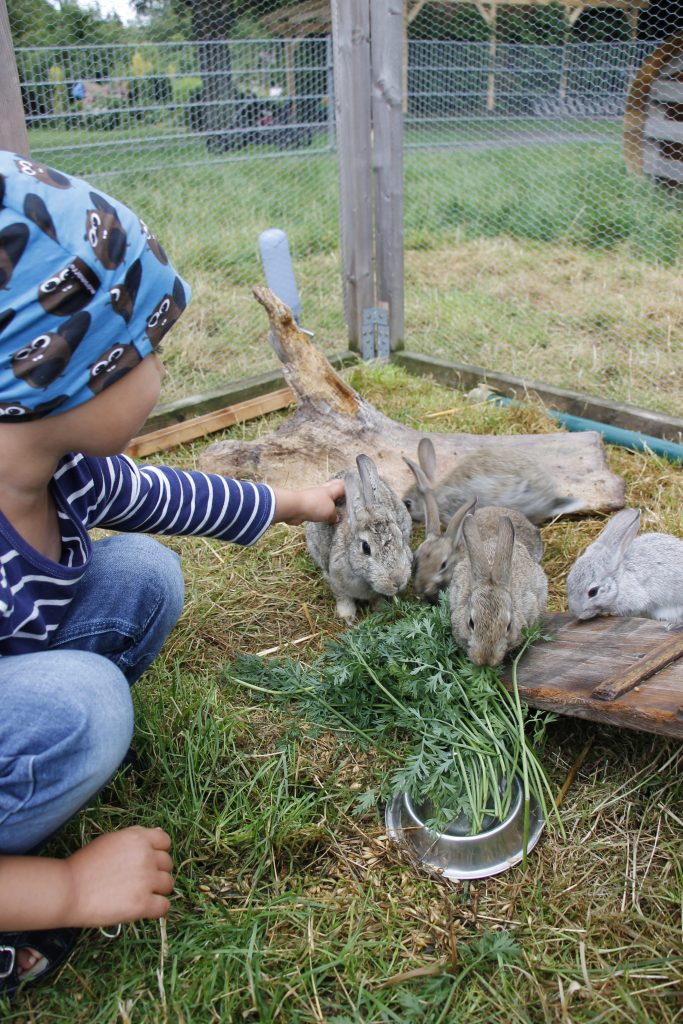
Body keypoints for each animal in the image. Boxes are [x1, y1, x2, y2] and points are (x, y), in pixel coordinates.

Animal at [305, 454, 413, 622]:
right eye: (366, 548)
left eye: (401, 539)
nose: (398, 582)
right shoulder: (335, 580)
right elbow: (343, 598)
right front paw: (347, 617)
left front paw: (381, 610)